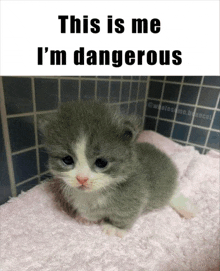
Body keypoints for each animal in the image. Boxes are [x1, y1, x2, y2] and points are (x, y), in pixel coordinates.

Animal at [39, 100, 194, 238]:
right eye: (67, 160)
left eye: (101, 162)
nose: (82, 178)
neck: (96, 193)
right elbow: (90, 211)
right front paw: (87, 218)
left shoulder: (135, 195)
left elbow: (125, 214)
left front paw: (115, 228)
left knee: (173, 195)